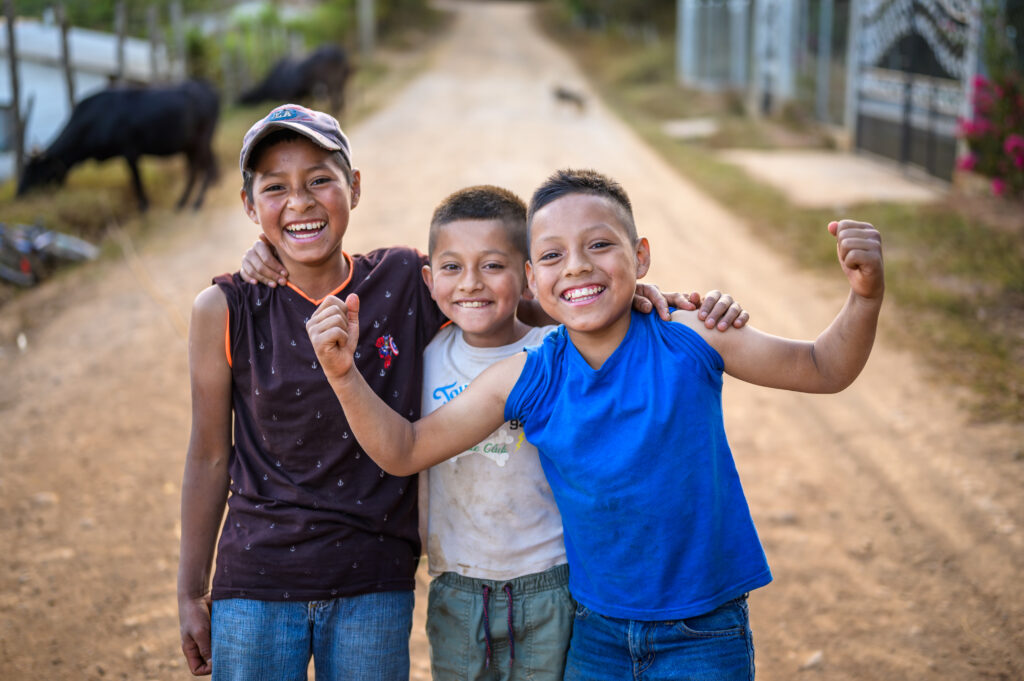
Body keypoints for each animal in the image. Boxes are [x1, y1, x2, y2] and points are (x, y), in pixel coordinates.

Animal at [16, 78, 220, 209]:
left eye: (32, 172)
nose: (18, 195)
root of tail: (210, 89)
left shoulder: (129, 151)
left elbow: (136, 180)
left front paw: (143, 206)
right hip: (191, 144)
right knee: (197, 168)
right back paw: (183, 201)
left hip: (202, 138)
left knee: (205, 167)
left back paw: (197, 202)